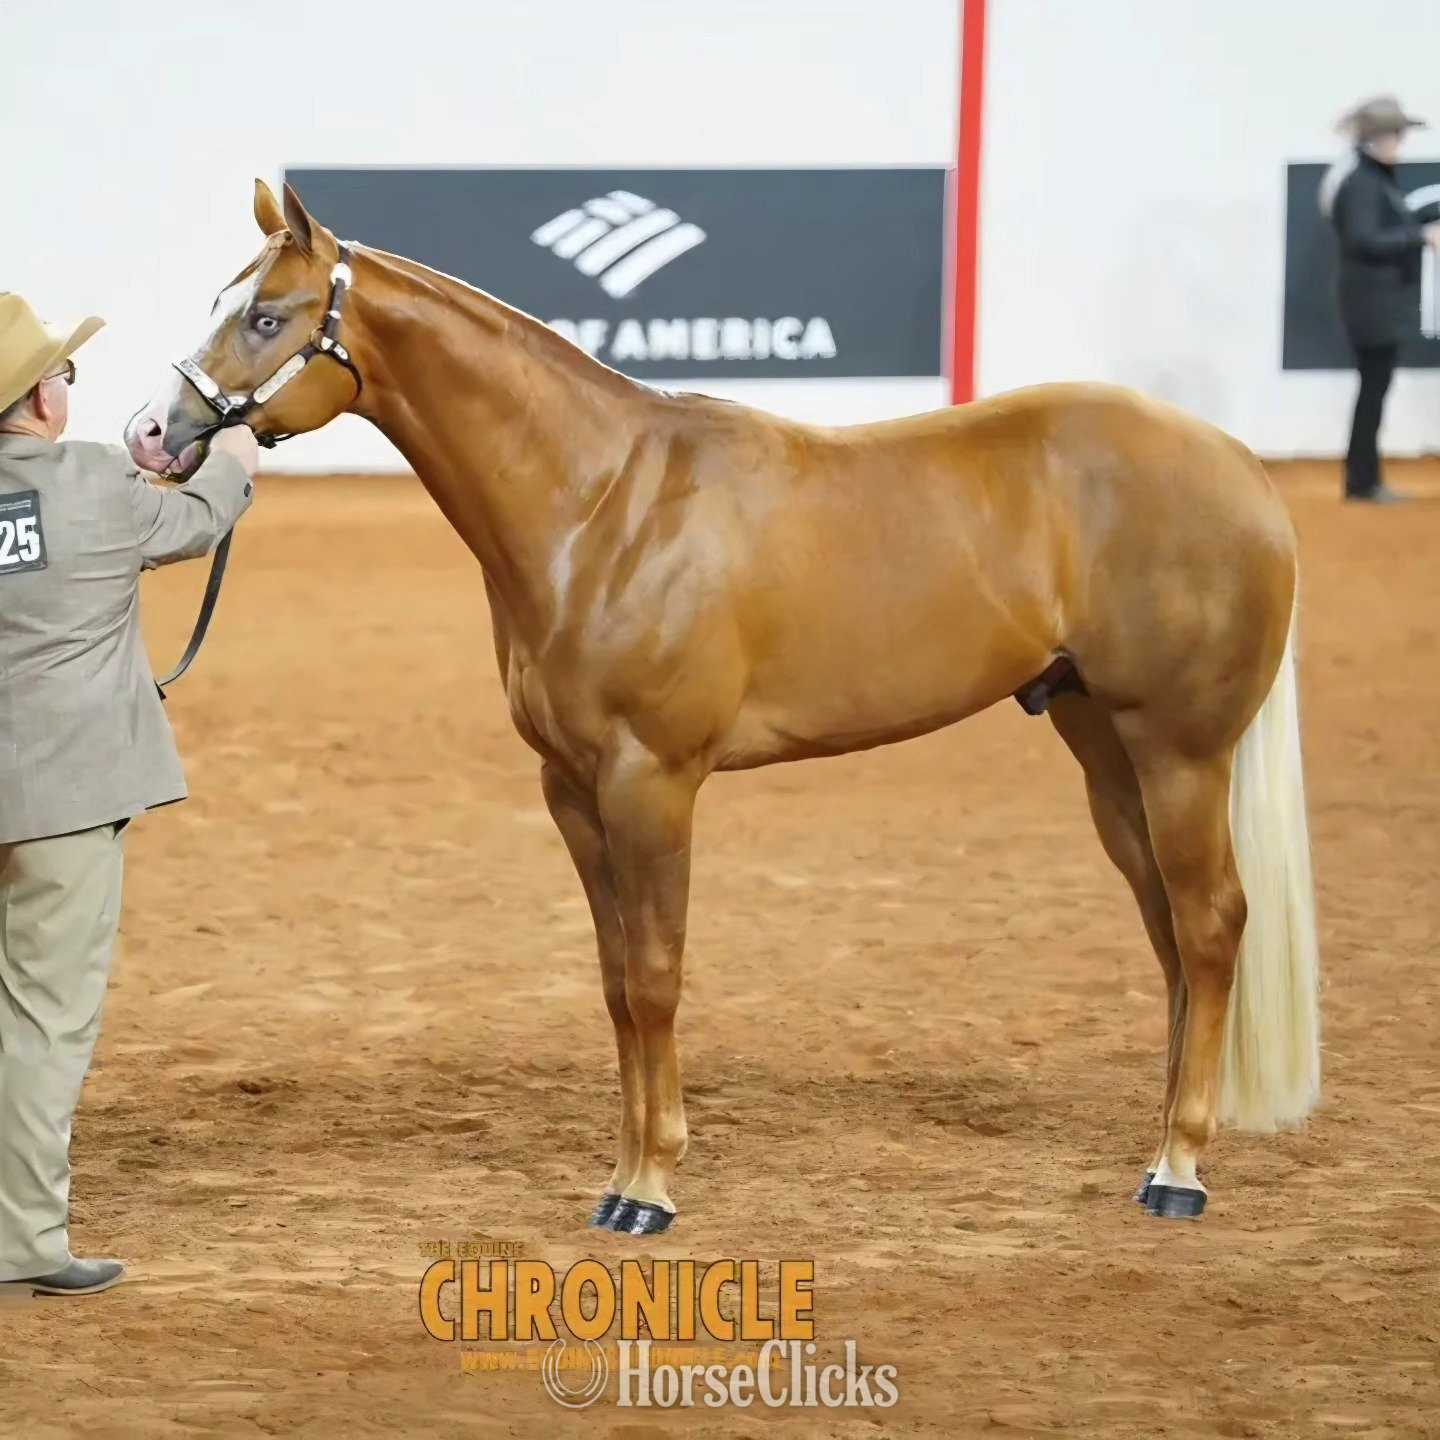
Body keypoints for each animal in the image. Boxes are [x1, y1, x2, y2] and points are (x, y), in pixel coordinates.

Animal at [125, 181, 1320, 1234]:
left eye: (267, 316)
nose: (150, 433)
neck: (602, 504)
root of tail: (1239, 468)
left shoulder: (651, 780)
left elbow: (657, 978)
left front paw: (651, 1191)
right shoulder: (572, 789)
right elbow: (616, 984)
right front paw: (621, 1175)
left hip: (1178, 749)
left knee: (1213, 925)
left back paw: (1178, 1171)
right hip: (1103, 746)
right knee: (1170, 934)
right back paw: (1164, 1142)